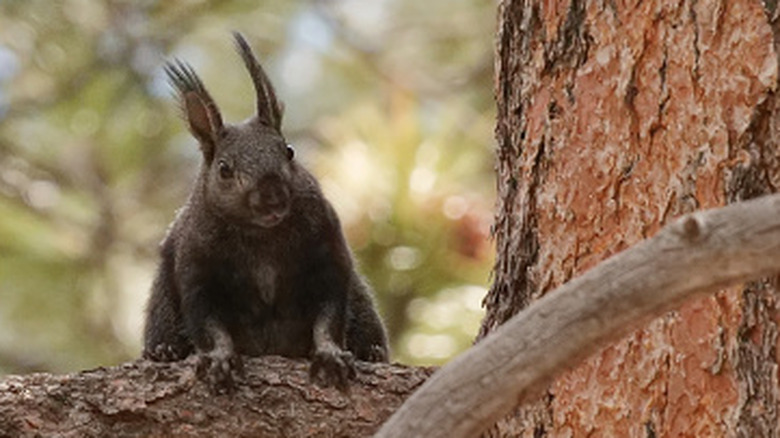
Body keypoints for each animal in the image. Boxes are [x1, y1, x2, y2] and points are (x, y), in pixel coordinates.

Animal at [142, 32, 389, 392]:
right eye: (224, 169)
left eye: (289, 151)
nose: (272, 198)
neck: (262, 236)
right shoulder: (197, 269)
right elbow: (207, 322)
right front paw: (219, 359)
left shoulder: (327, 253)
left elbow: (329, 315)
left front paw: (330, 354)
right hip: (162, 299)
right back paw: (164, 351)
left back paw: (371, 351)